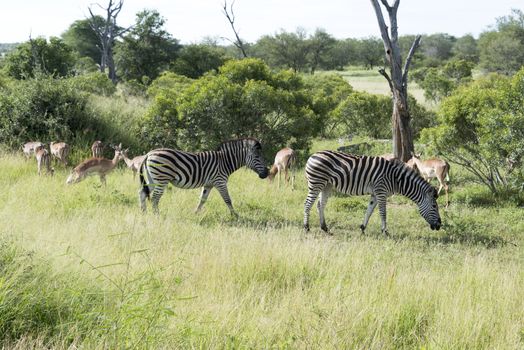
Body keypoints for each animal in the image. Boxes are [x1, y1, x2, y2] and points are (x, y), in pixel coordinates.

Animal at [138, 138, 268, 215]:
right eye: (257, 157)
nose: (266, 173)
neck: (225, 161)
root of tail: (149, 154)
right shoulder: (220, 181)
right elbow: (227, 199)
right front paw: (235, 215)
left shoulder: (208, 184)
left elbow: (202, 199)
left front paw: (195, 213)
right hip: (161, 178)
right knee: (155, 197)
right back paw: (157, 215)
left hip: (152, 178)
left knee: (143, 193)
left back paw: (144, 213)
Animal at [302, 150, 442, 235]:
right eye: (434, 206)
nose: (440, 225)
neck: (396, 179)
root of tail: (312, 156)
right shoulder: (381, 191)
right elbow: (383, 213)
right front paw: (385, 232)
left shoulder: (375, 194)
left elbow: (369, 211)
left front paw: (363, 229)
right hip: (316, 183)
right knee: (308, 204)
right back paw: (306, 227)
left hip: (327, 185)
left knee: (320, 205)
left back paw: (325, 228)